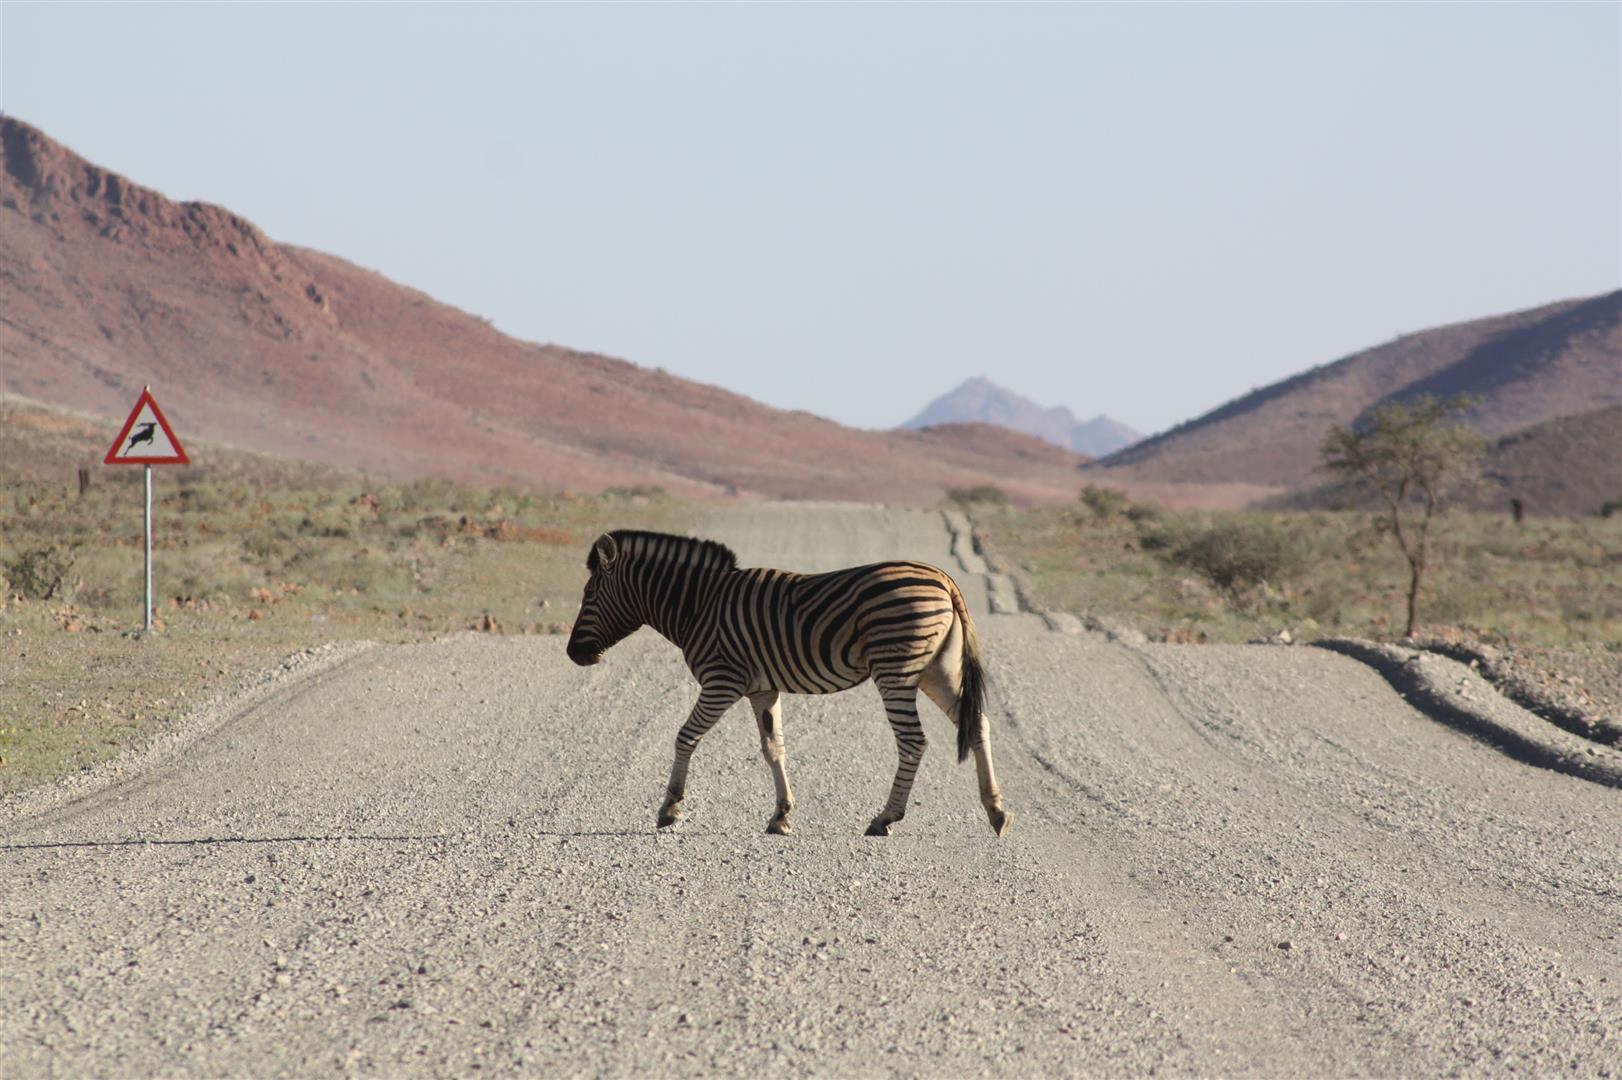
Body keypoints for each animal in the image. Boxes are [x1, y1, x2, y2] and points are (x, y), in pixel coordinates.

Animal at [564, 528, 1005, 830]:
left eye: (589, 595)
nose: (573, 654)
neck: (697, 606)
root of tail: (944, 579)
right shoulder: (762, 689)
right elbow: (773, 748)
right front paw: (780, 816)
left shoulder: (722, 681)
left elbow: (686, 736)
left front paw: (669, 808)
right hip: (936, 670)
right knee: (978, 722)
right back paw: (996, 810)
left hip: (895, 670)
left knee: (914, 741)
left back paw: (885, 818)